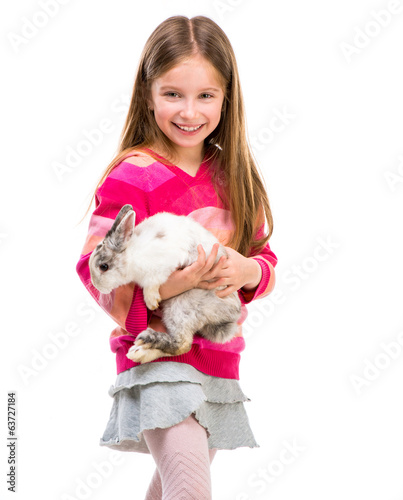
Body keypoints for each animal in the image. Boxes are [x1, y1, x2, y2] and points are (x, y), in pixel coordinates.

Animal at [89, 203, 240, 364]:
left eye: (103, 267)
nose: (97, 286)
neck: (131, 255)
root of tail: (231, 316)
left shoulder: (165, 265)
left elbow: (152, 282)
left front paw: (151, 301)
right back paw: (139, 353)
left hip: (182, 307)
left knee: (183, 344)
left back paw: (144, 344)